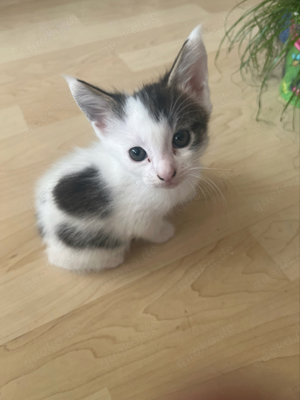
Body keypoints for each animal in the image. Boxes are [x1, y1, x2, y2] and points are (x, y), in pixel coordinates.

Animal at [35, 25, 211, 272]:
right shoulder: (136, 217)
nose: (167, 174)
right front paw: (164, 232)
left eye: (181, 138)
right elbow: (148, 228)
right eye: (136, 154)